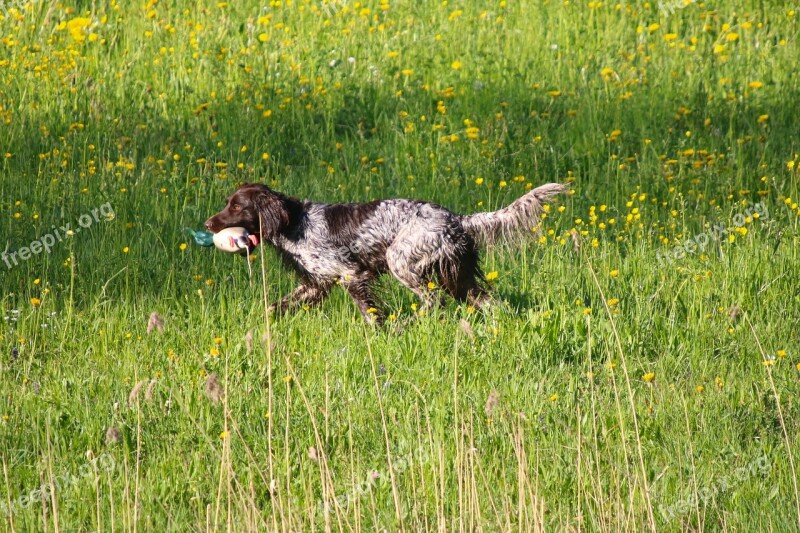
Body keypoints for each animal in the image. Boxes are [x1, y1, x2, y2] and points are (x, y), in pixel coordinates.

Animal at [206, 181, 568, 322]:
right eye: (228, 203)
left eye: (236, 206)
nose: (209, 224)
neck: (294, 223)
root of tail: (457, 219)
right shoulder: (315, 284)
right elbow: (276, 306)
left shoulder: (351, 274)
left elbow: (370, 313)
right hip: (460, 277)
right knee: (487, 301)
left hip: (401, 261)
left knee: (433, 301)